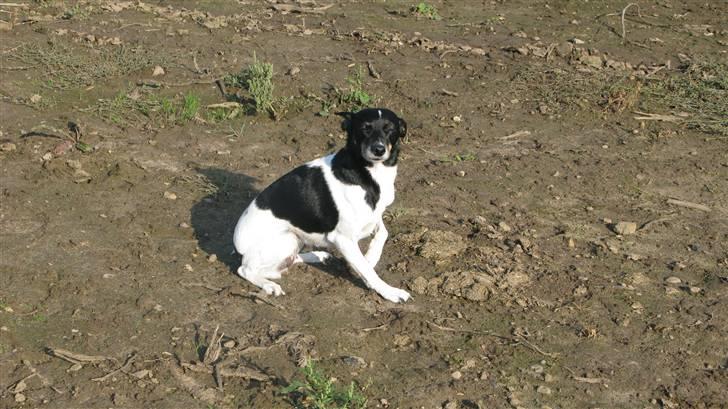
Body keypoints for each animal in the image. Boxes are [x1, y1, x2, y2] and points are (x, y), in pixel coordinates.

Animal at [235, 108, 412, 302]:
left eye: (390, 129)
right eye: (365, 128)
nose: (378, 149)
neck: (369, 173)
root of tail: (239, 246)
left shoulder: (373, 215)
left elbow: (382, 233)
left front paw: (371, 257)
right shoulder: (344, 239)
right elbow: (368, 271)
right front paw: (389, 291)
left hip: (295, 239)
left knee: (285, 262)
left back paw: (318, 256)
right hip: (286, 239)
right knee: (246, 270)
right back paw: (269, 285)